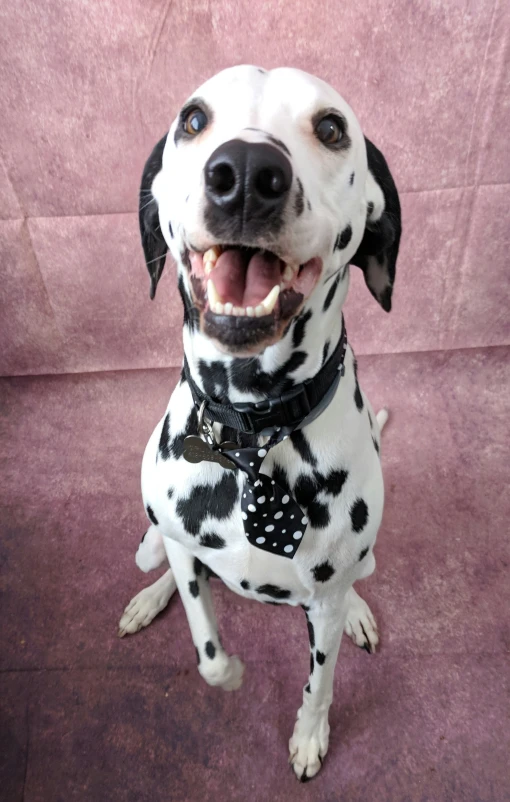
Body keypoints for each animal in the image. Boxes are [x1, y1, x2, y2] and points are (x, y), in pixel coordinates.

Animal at [119, 65, 402, 780]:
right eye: (193, 120)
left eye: (330, 128)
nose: (246, 171)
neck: (253, 431)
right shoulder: (187, 547)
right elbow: (209, 652)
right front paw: (229, 669)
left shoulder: (323, 604)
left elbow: (320, 682)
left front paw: (309, 735)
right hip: (153, 538)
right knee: (156, 555)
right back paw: (148, 594)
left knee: (359, 581)